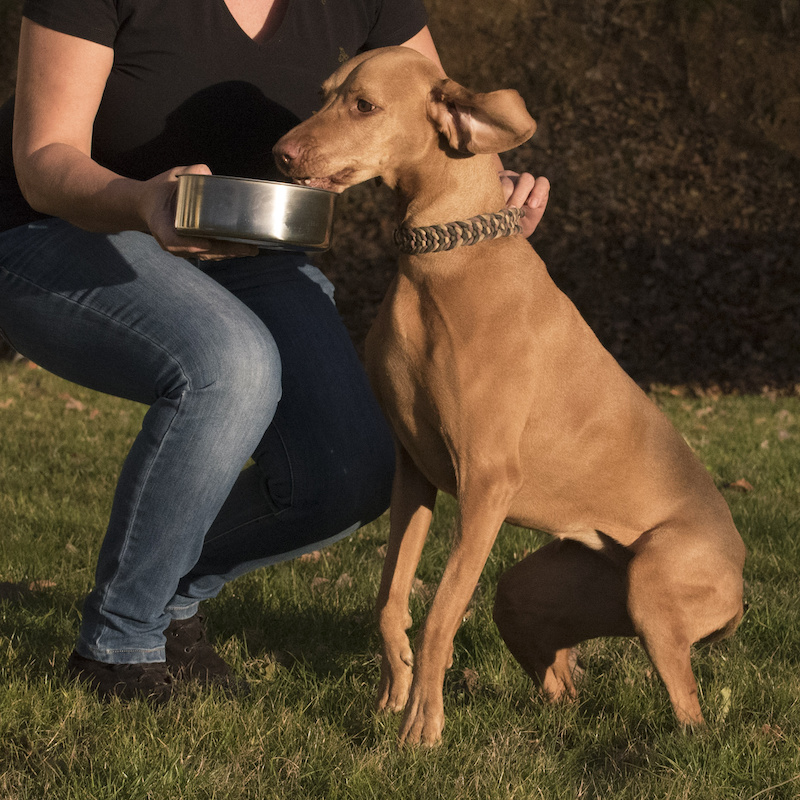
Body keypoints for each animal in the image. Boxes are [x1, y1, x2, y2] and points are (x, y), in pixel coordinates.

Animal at [274, 47, 744, 748]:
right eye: (323, 94)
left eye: (364, 105)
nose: (280, 155)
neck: (443, 260)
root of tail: (742, 575)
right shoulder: (414, 473)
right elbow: (390, 602)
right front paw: (393, 693)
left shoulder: (485, 484)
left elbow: (440, 615)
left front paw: (423, 725)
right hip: (525, 594)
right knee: (562, 682)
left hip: (653, 590)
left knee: (691, 714)